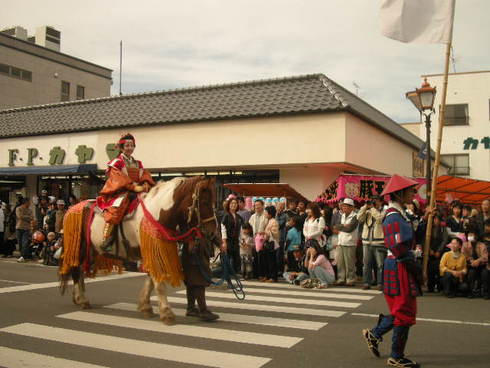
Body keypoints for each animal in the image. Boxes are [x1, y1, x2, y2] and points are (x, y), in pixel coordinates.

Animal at [58, 177, 217, 324]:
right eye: (205, 202)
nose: (212, 232)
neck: (158, 213)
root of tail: (70, 209)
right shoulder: (153, 249)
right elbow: (158, 282)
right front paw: (166, 312)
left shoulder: (152, 250)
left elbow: (151, 280)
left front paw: (145, 306)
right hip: (80, 246)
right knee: (76, 270)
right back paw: (82, 299)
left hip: (91, 249)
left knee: (79, 270)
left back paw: (77, 297)